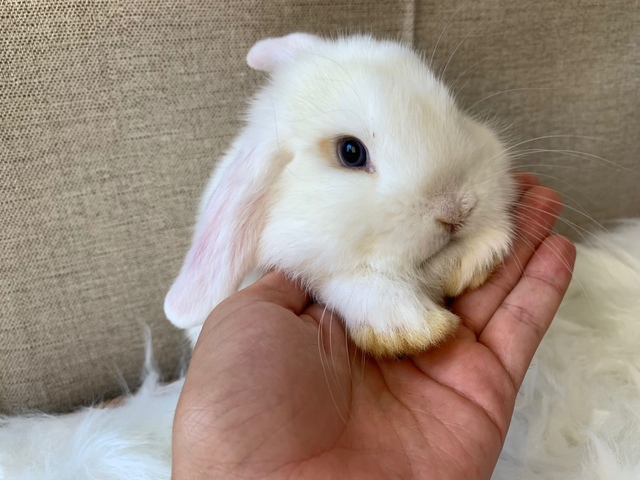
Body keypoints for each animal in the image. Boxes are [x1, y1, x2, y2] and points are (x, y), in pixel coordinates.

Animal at [164, 33, 517, 358]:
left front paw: (481, 254)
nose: (455, 211)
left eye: (453, 110)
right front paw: (409, 330)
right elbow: (346, 281)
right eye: (351, 152)